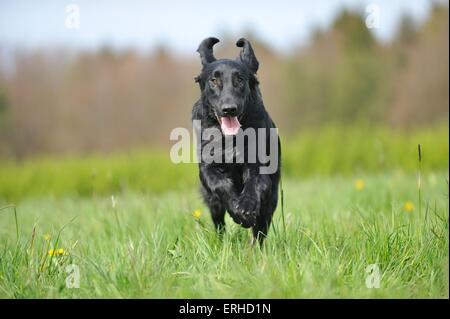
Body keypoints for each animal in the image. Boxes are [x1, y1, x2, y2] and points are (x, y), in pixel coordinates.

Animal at [192, 37, 280, 242]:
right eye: (214, 80)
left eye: (240, 79)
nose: (229, 109)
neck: (230, 139)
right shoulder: (206, 168)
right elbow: (221, 184)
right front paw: (236, 209)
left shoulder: (259, 165)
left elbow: (254, 183)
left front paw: (246, 208)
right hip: (213, 204)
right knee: (219, 223)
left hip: (271, 200)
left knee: (260, 230)